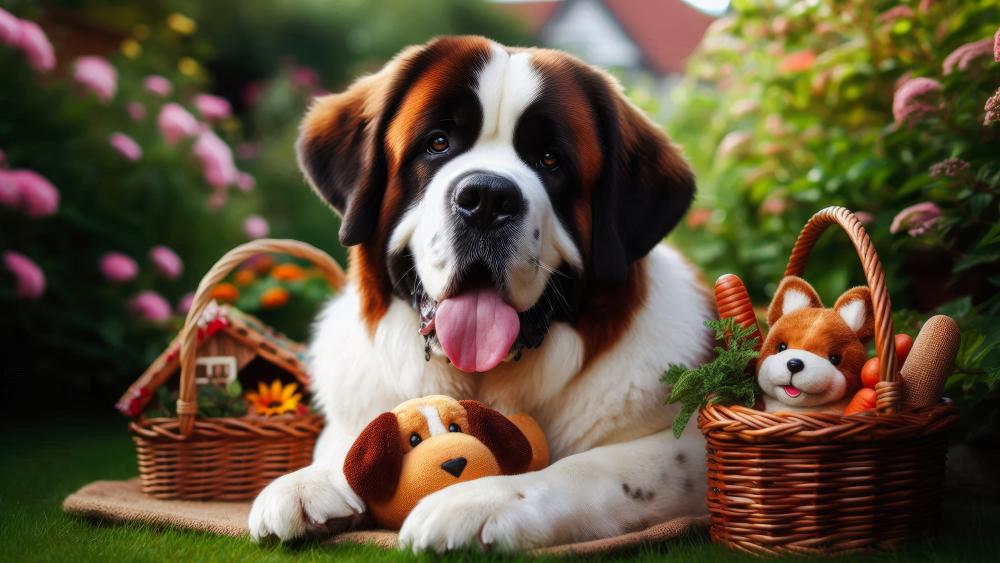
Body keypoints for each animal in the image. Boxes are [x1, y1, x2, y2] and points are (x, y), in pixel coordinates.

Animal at [250, 34, 720, 552]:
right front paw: (311, 480)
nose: (487, 198)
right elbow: (361, 436)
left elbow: (588, 467)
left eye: (551, 160)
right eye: (437, 142)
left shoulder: (689, 446)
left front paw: (479, 500)